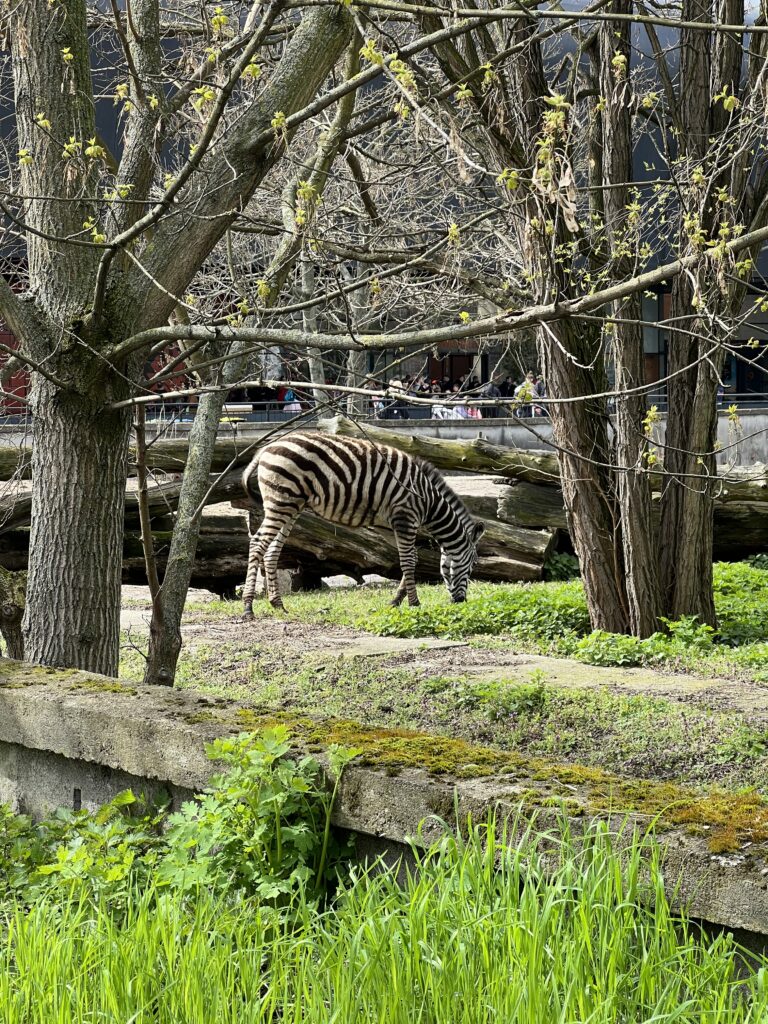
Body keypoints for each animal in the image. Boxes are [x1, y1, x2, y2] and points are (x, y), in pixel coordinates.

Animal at [240, 432, 483, 614]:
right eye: (471, 566)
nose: (461, 602)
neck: (428, 500)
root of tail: (267, 447)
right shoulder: (406, 517)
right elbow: (407, 561)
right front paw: (414, 603)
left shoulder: (391, 524)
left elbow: (411, 558)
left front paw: (396, 600)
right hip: (281, 500)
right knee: (258, 544)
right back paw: (248, 607)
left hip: (291, 506)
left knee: (272, 551)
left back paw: (278, 605)